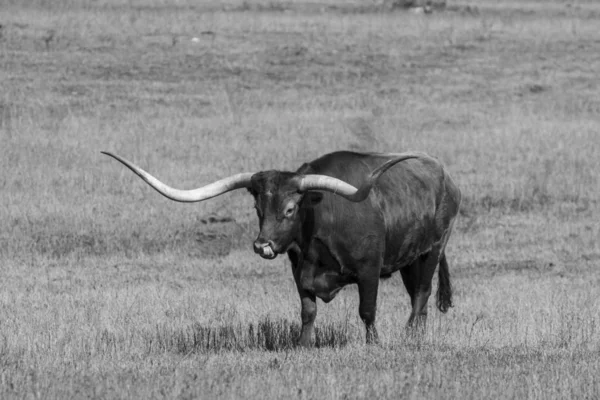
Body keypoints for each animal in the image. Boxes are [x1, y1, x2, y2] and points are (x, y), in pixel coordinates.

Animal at [103, 151, 462, 346]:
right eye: (257, 208)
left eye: (290, 209)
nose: (261, 245)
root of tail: (446, 178)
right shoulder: (298, 270)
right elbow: (308, 311)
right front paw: (302, 345)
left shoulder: (369, 270)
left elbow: (367, 311)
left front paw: (373, 344)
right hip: (410, 260)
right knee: (418, 297)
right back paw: (417, 336)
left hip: (433, 248)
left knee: (422, 292)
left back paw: (409, 336)